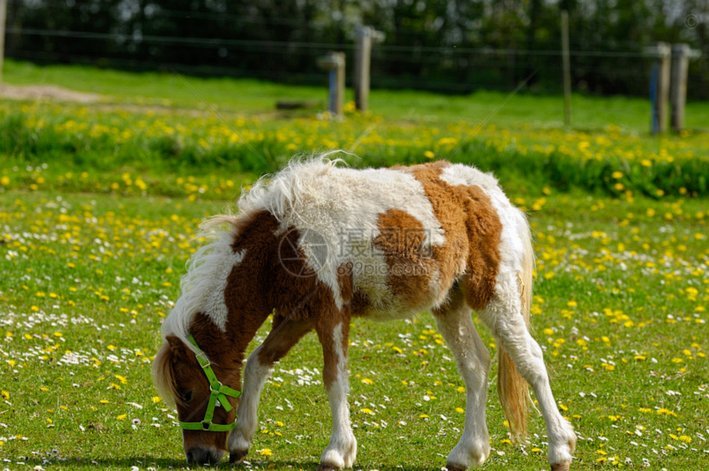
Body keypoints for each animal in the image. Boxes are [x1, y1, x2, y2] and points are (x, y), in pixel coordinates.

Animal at [152, 158, 576, 470]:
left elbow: (333, 378)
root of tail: (495, 196)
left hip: (493, 295)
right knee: (475, 366)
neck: (285, 240)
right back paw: (466, 453)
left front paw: (337, 452)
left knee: (530, 359)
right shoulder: (298, 315)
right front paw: (242, 441)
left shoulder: (331, 311)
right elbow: (258, 362)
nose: (199, 456)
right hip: (450, 304)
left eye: (186, 390)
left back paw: (560, 449)